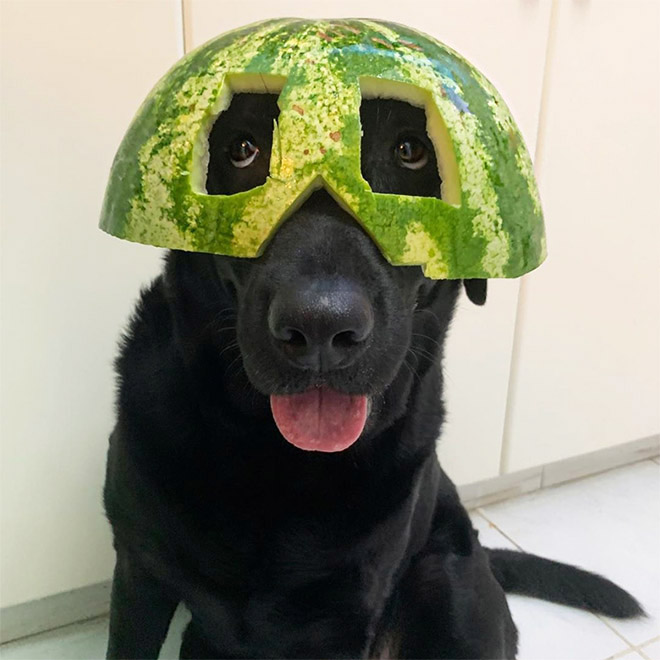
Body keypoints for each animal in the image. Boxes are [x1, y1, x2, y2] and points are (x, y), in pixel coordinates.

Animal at [104, 94, 644, 660]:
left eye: (410, 151)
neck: (274, 461)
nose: (321, 326)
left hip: (450, 590)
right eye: (243, 149)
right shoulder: (138, 570)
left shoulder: (342, 618)